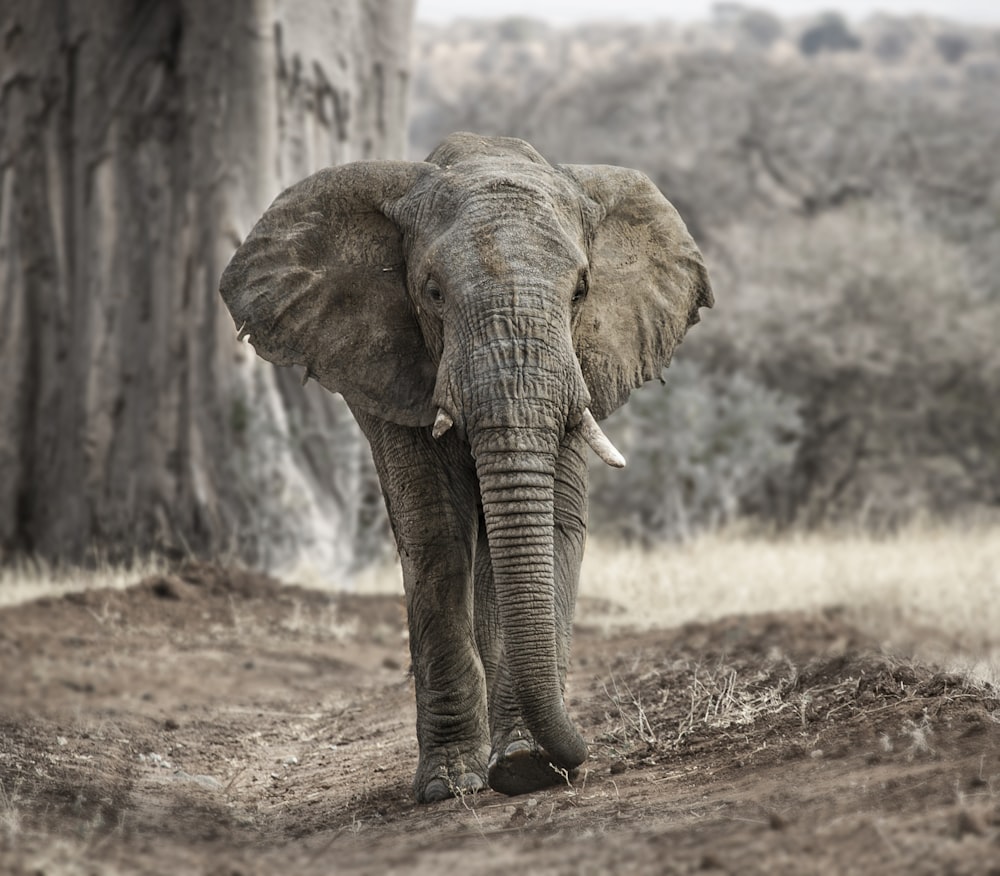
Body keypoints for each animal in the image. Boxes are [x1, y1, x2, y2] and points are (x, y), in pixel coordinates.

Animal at [219, 130, 712, 800]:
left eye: (581, 291)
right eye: (432, 293)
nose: (579, 756)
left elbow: (549, 522)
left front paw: (528, 766)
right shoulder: (391, 367)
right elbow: (434, 531)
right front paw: (452, 784)